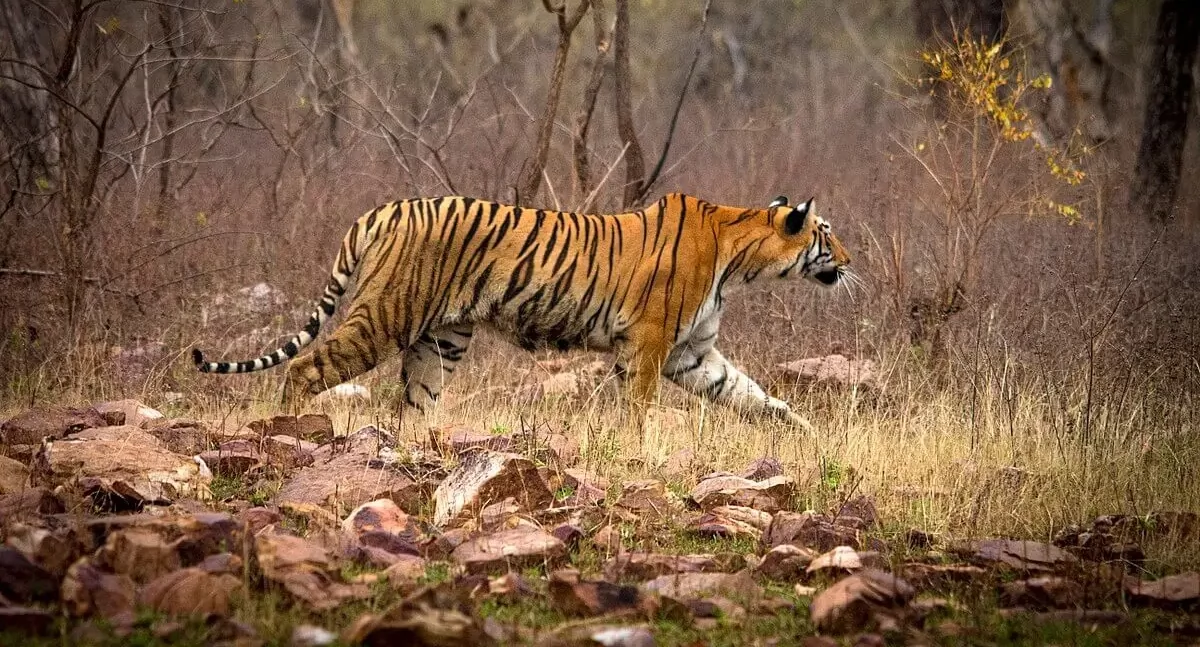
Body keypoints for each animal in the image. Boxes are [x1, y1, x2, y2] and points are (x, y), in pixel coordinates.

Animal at [192, 193, 851, 430]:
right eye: (828, 233)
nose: (848, 259)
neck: (740, 257)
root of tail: (378, 211)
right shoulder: (649, 344)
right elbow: (638, 409)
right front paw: (637, 450)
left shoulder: (690, 354)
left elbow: (752, 394)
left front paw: (802, 432)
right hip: (385, 316)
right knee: (304, 369)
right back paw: (287, 429)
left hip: (441, 340)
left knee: (412, 404)